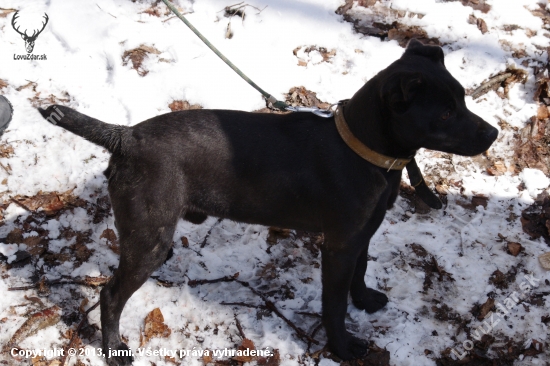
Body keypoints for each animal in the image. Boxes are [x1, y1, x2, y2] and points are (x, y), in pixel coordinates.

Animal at [40, 40, 500, 364]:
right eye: (444, 114)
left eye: (462, 98)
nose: (494, 134)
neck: (363, 152)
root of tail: (124, 136)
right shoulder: (338, 245)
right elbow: (334, 304)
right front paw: (343, 348)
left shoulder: (362, 235)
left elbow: (361, 273)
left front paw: (366, 301)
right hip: (148, 237)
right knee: (110, 295)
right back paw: (114, 350)